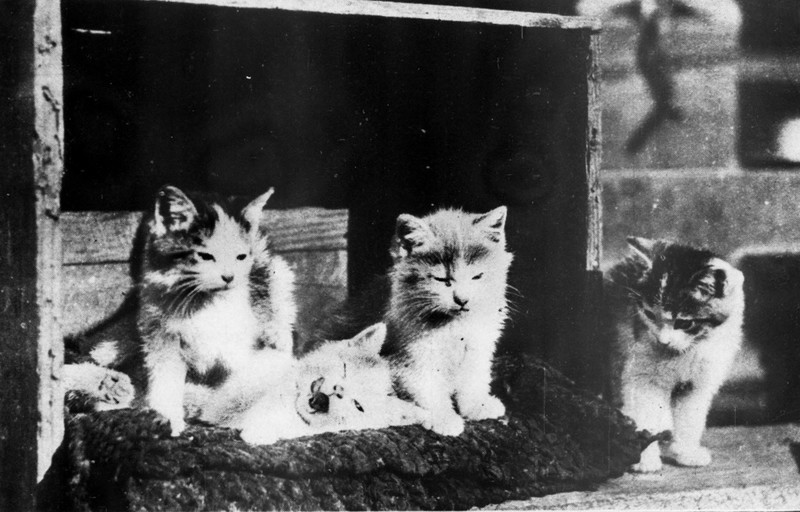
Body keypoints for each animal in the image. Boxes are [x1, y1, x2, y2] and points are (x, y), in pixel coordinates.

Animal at [66, 185, 297, 436]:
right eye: (205, 256)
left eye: (241, 257)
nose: (229, 277)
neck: (203, 303)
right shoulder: (160, 335)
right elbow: (165, 380)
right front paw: (168, 417)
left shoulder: (242, 345)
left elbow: (241, 384)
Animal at [604, 236, 744, 472]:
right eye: (649, 314)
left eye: (684, 323)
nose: (663, 340)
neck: (685, 352)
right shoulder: (640, 377)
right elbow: (644, 414)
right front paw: (644, 459)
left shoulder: (697, 384)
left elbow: (690, 418)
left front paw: (687, 452)